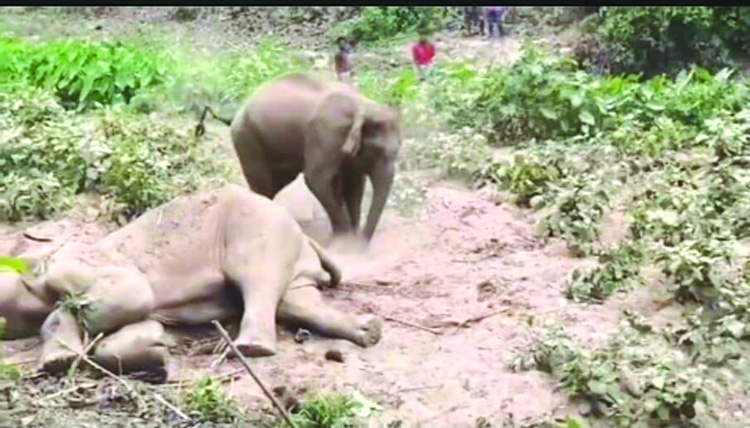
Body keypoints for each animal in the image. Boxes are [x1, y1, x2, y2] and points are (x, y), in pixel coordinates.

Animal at [0, 184, 382, 380]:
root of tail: (306, 236)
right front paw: (158, 350)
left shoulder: (79, 262)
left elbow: (132, 294)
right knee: (297, 300)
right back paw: (370, 332)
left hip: (257, 227)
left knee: (257, 279)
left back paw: (249, 349)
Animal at [197, 72, 402, 243]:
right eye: (379, 151)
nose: (363, 245)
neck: (363, 105)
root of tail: (236, 113)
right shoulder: (326, 135)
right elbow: (317, 179)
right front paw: (342, 239)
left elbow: (354, 185)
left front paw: (350, 239)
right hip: (247, 139)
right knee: (261, 182)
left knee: (276, 183)